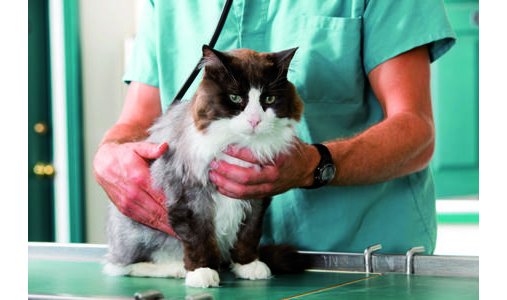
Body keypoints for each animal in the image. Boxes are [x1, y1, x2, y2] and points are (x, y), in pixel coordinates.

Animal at [103, 45, 308, 288]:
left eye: (269, 98)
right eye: (234, 97)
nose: (254, 121)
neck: (238, 144)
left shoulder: (256, 197)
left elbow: (248, 235)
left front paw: (247, 265)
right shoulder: (189, 197)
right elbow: (199, 239)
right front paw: (202, 272)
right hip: (138, 233)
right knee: (121, 266)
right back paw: (175, 269)